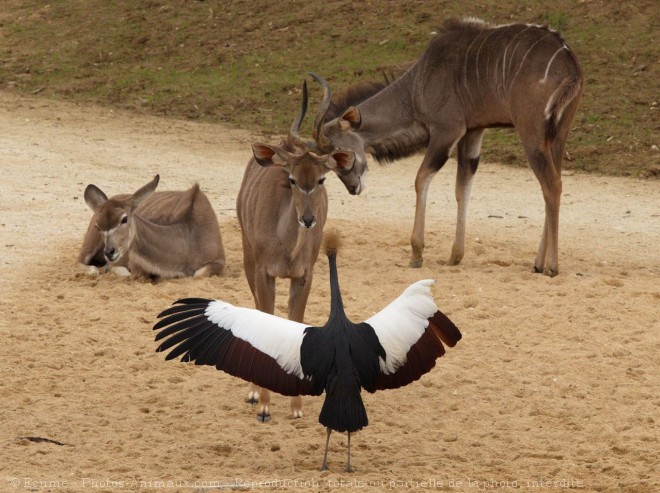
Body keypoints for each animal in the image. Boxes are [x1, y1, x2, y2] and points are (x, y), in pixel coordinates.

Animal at [310, 18, 584, 276]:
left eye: (341, 154)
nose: (353, 188)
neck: (416, 85)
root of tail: (570, 63)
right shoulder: (472, 132)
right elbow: (462, 189)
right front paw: (455, 257)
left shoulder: (447, 131)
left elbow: (421, 178)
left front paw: (417, 254)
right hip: (556, 138)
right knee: (554, 185)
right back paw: (538, 263)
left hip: (531, 136)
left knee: (552, 185)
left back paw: (551, 267)